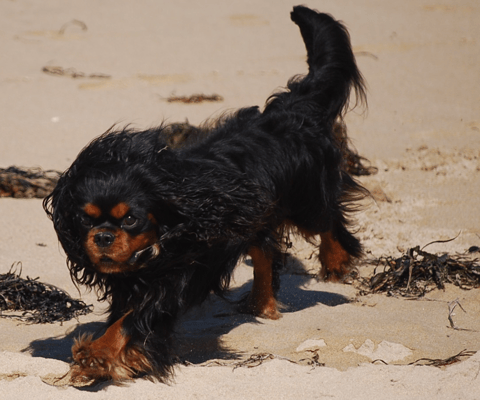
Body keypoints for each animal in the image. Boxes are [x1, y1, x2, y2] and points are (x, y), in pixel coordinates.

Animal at [44, 4, 368, 382]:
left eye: (131, 220)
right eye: (85, 220)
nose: (103, 237)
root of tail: (291, 110)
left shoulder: (172, 282)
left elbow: (130, 323)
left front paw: (97, 356)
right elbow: (122, 317)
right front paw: (99, 358)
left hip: (305, 201)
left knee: (328, 218)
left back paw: (335, 262)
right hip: (256, 214)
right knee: (265, 251)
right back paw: (261, 304)